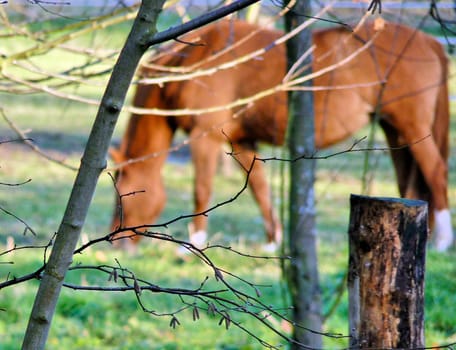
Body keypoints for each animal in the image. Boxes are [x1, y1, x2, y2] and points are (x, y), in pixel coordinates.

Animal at [109, 19, 452, 252]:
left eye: (124, 194)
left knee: (436, 172)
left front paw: (190, 246)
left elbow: (201, 190)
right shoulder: (241, 142)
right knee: (411, 181)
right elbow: (260, 190)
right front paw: (274, 242)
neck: (192, 63)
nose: (117, 241)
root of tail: (430, 42)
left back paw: (442, 241)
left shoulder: (204, 138)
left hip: (412, 128)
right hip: (396, 132)